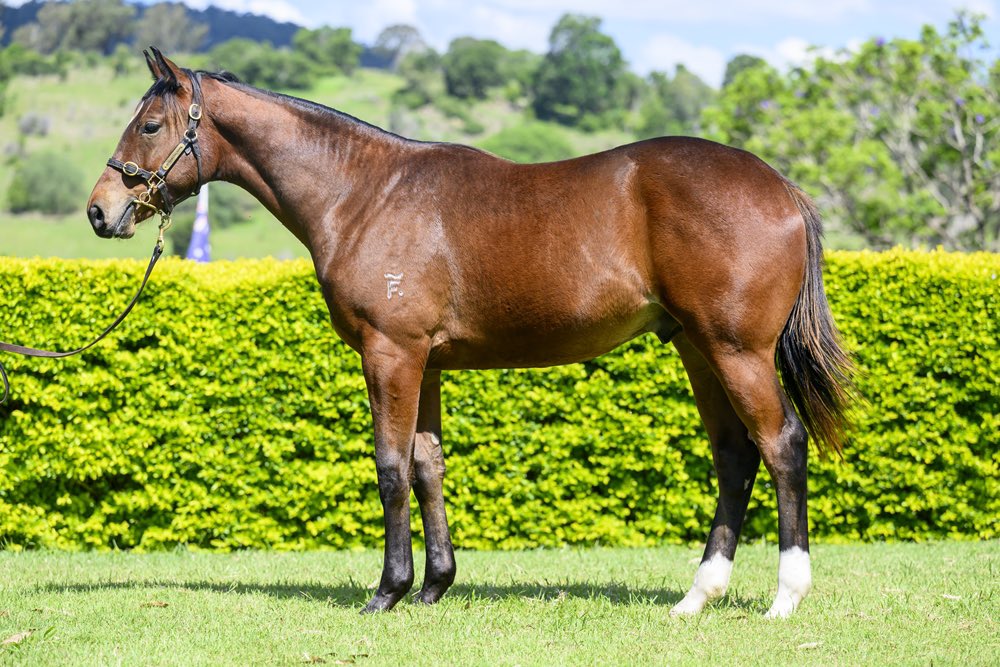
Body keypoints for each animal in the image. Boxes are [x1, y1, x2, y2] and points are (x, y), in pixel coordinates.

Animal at [87, 49, 853, 618]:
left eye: (149, 125)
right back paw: (697, 595)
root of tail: (783, 189)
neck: (364, 193)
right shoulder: (424, 362)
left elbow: (390, 465)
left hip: (736, 351)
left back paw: (785, 596)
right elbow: (427, 465)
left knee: (781, 444)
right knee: (734, 455)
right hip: (697, 348)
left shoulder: (390, 353)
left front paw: (387, 591)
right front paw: (433, 585)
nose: (100, 210)